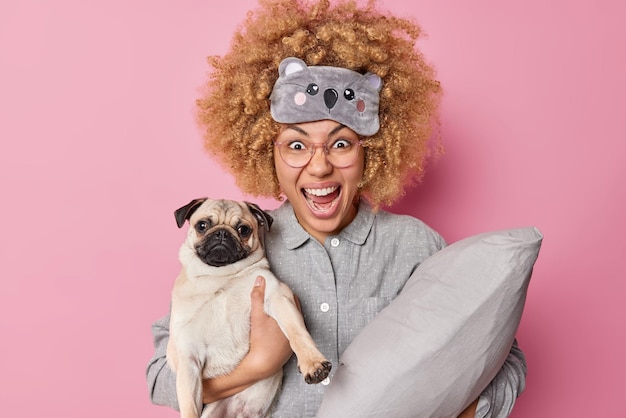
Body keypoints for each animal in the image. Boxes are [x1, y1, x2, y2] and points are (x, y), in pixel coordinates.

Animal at [166, 197, 332, 418]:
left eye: (243, 229)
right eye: (202, 225)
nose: (222, 233)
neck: (221, 276)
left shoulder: (277, 295)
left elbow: (298, 334)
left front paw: (312, 363)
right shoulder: (188, 358)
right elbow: (189, 408)